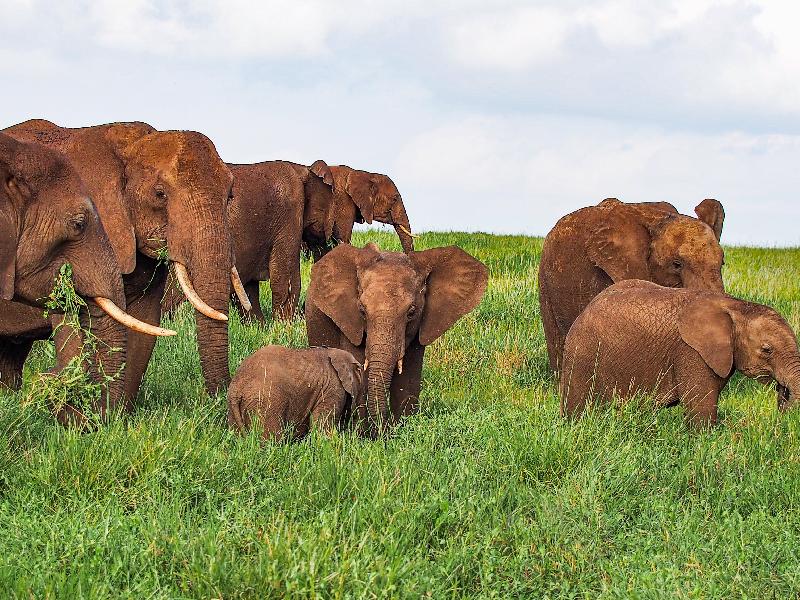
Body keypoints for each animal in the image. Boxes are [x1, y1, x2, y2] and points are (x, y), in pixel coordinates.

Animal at [164, 159, 336, 322]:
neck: (302, 169)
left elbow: (247, 287)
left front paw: (258, 326)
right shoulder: (290, 214)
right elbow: (286, 279)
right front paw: (282, 327)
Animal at [305, 243, 488, 435]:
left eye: (411, 312)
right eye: (362, 311)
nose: (382, 430)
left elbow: (408, 378)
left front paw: (401, 431)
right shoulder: (350, 322)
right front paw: (361, 435)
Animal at [560, 280, 800, 428]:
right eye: (767, 350)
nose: (782, 389)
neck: (736, 306)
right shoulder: (690, 352)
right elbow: (701, 410)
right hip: (582, 352)